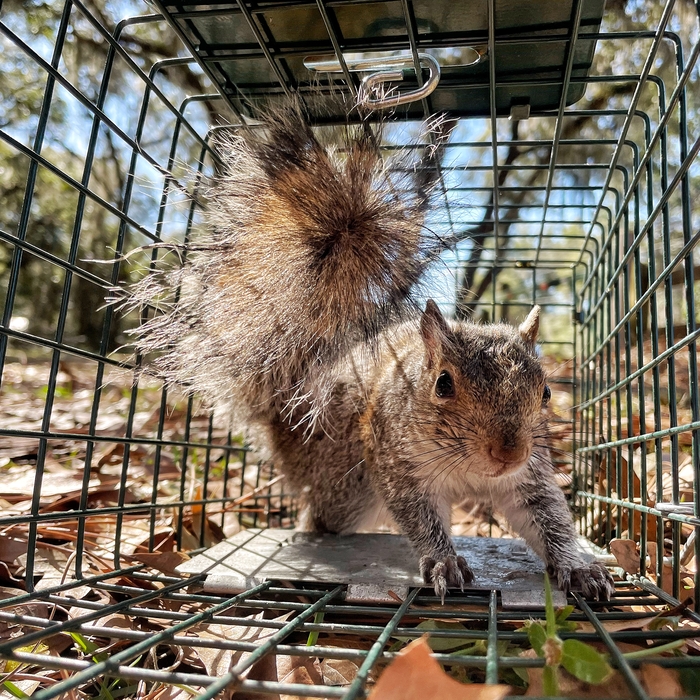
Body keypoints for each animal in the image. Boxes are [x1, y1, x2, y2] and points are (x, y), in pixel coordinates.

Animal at [128, 103, 614, 602]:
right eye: (443, 384)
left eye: (545, 393)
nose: (508, 453)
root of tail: (285, 424)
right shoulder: (395, 463)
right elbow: (419, 516)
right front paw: (443, 561)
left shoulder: (529, 477)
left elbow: (549, 519)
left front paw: (578, 566)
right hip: (349, 482)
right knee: (323, 518)